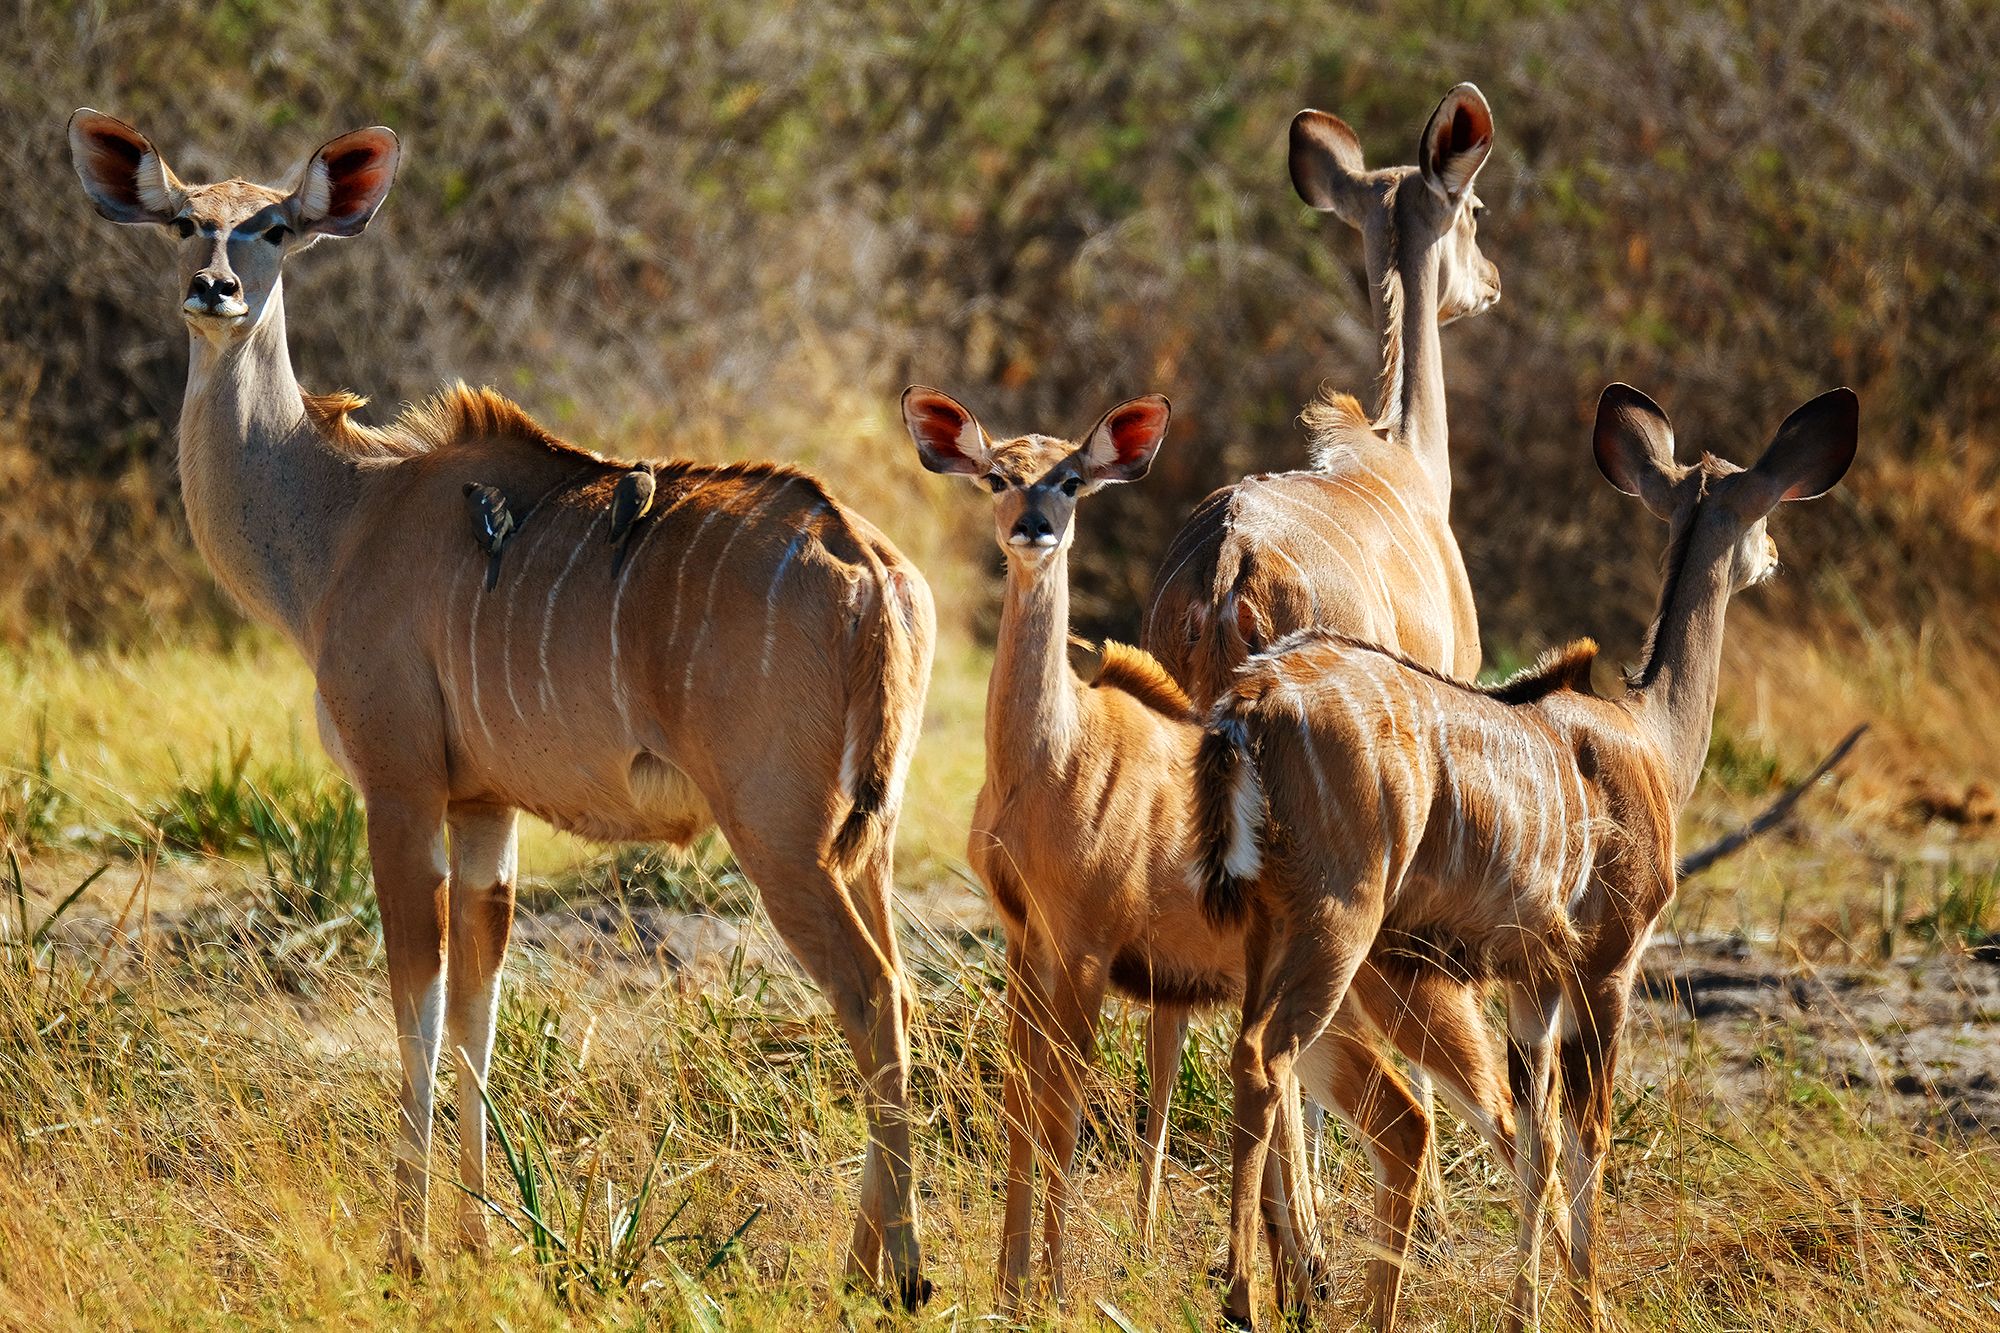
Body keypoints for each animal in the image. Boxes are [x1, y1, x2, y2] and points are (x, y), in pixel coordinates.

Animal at [64, 111, 936, 1296]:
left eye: (276, 228)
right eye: (183, 221)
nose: (213, 289)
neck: (343, 519)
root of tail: (869, 566)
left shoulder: (398, 787)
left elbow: (418, 1009)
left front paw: (408, 1247)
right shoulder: (485, 807)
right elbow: (478, 1007)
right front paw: (481, 1238)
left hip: (780, 833)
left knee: (871, 996)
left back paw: (893, 1274)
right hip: (866, 837)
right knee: (902, 991)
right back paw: (873, 1261)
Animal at [900, 386, 1504, 1320]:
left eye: (1071, 478)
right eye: (997, 474)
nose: (1034, 528)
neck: (1048, 759)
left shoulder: (1084, 946)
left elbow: (1062, 1107)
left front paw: (1055, 1286)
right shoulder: (1024, 940)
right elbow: (1019, 1102)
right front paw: (1010, 1286)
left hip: (1382, 989)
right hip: (1346, 1002)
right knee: (1406, 1116)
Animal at [1184, 378, 1856, 1320]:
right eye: (1759, 511)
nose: (1773, 559)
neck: (1650, 737)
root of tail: (1249, 705)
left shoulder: (1529, 982)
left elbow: (1533, 1141)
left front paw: (1527, 1308)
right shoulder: (1606, 961)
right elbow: (1588, 1134)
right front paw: (1589, 1306)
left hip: (1268, 928)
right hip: (1338, 922)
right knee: (1263, 1058)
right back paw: (1248, 1293)